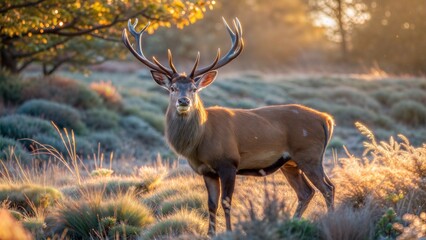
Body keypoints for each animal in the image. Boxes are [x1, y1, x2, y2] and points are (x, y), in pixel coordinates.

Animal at [121, 17, 334, 235]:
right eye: (172, 88)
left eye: (194, 88)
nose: (183, 101)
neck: (200, 143)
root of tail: (326, 119)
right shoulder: (206, 171)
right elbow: (211, 204)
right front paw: (210, 233)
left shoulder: (229, 163)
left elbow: (226, 202)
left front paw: (230, 231)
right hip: (290, 163)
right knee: (306, 192)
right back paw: (292, 223)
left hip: (309, 154)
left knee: (327, 188)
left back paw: (329, 220)